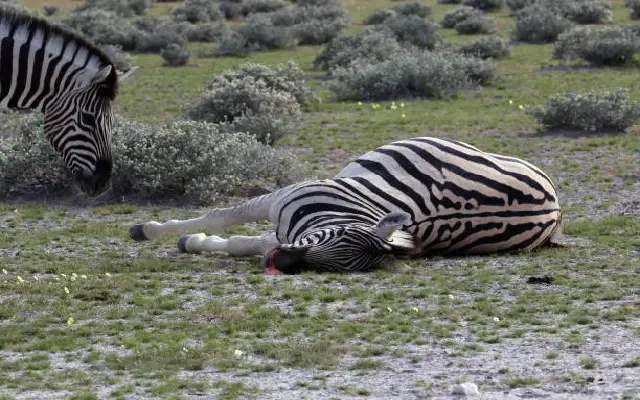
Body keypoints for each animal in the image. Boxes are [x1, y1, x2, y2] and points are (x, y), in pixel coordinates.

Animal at [129, 137, 563, 274]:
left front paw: (185, 239)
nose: (284, 265)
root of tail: (556, 213)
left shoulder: (283, 218)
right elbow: (223, 217)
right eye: (332, 237)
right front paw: (153, 231)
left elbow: (237, 235)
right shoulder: (281, 200)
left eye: (335, 267)